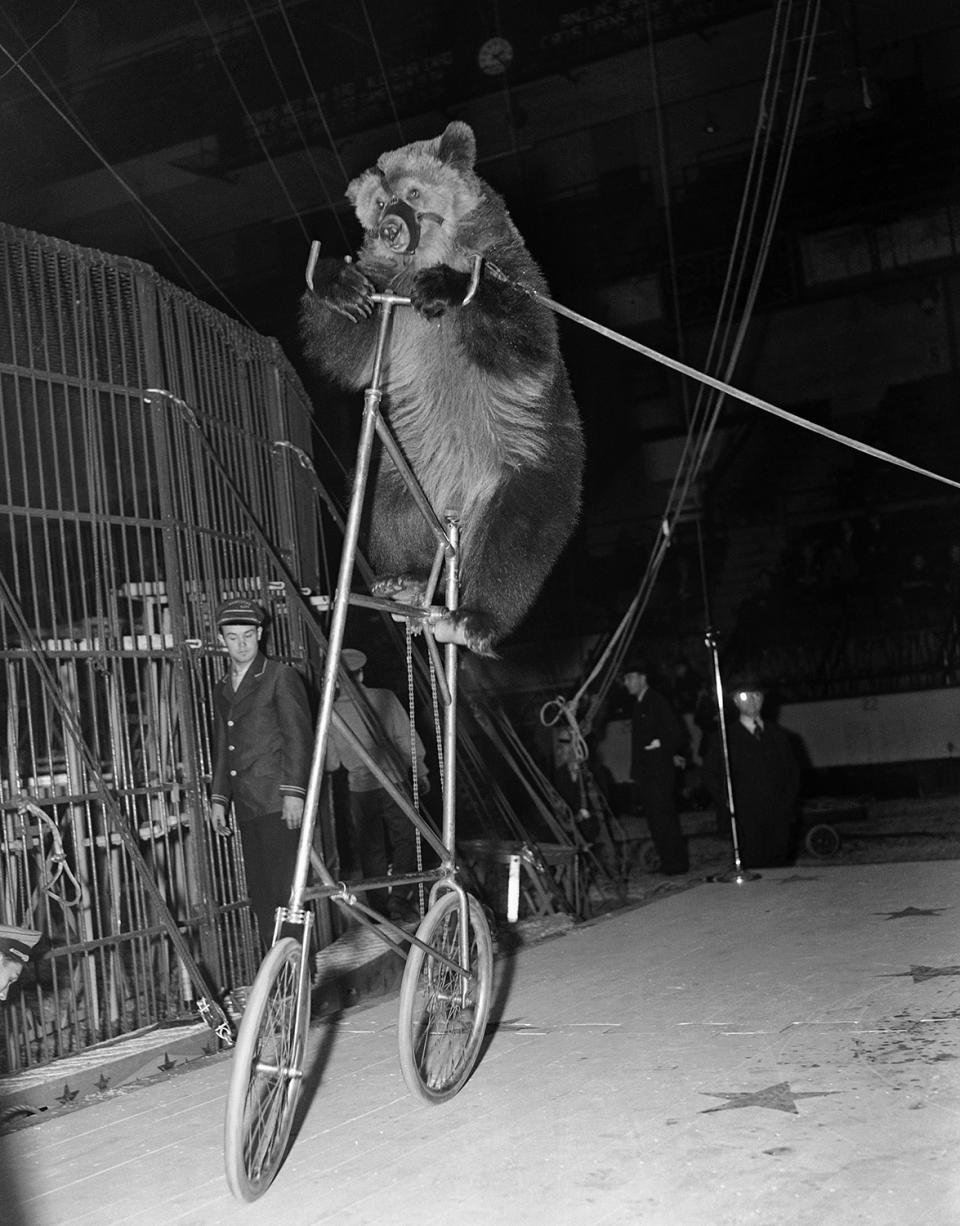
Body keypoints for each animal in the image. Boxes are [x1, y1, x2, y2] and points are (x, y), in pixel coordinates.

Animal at [300, 120, 586, 657]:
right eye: (378, 203)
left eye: (412, 192)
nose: (392, 228)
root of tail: (458, 499)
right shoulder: (392, 312)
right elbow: (347, 348)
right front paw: (338, 283)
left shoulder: (507, 265)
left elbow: (525, 333)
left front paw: (444, 287)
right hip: (408, 463)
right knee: (385, 507)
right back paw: (404, 578)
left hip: (530, 457)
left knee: (520, 536)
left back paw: (475, 617)